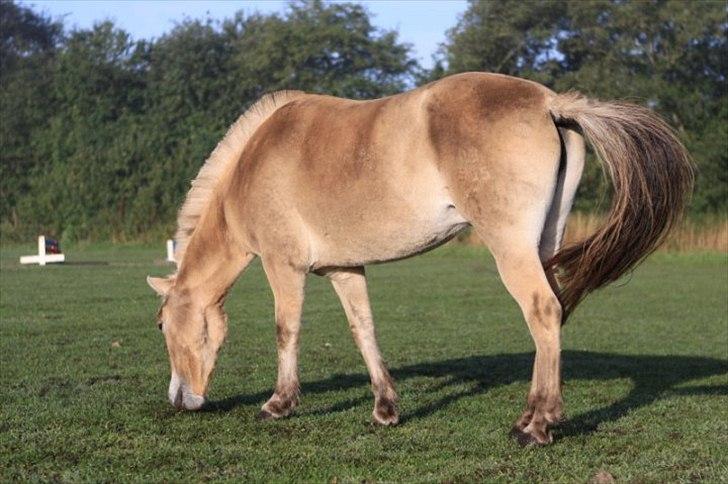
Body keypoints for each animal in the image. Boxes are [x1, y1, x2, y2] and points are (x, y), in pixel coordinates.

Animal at [147, 72, 693, 445]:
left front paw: (279, 404)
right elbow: (363, 330)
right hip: (544, 244)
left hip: (511, 248)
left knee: (541, 311)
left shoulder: (284, 267)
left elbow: (286, 330)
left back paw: (536, 425)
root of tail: (548, 103)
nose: (179, 399)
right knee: (552, 318)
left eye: (161, 325)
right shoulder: (343, 269)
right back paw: (532, 415)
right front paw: (386, 408)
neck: (255, 163)